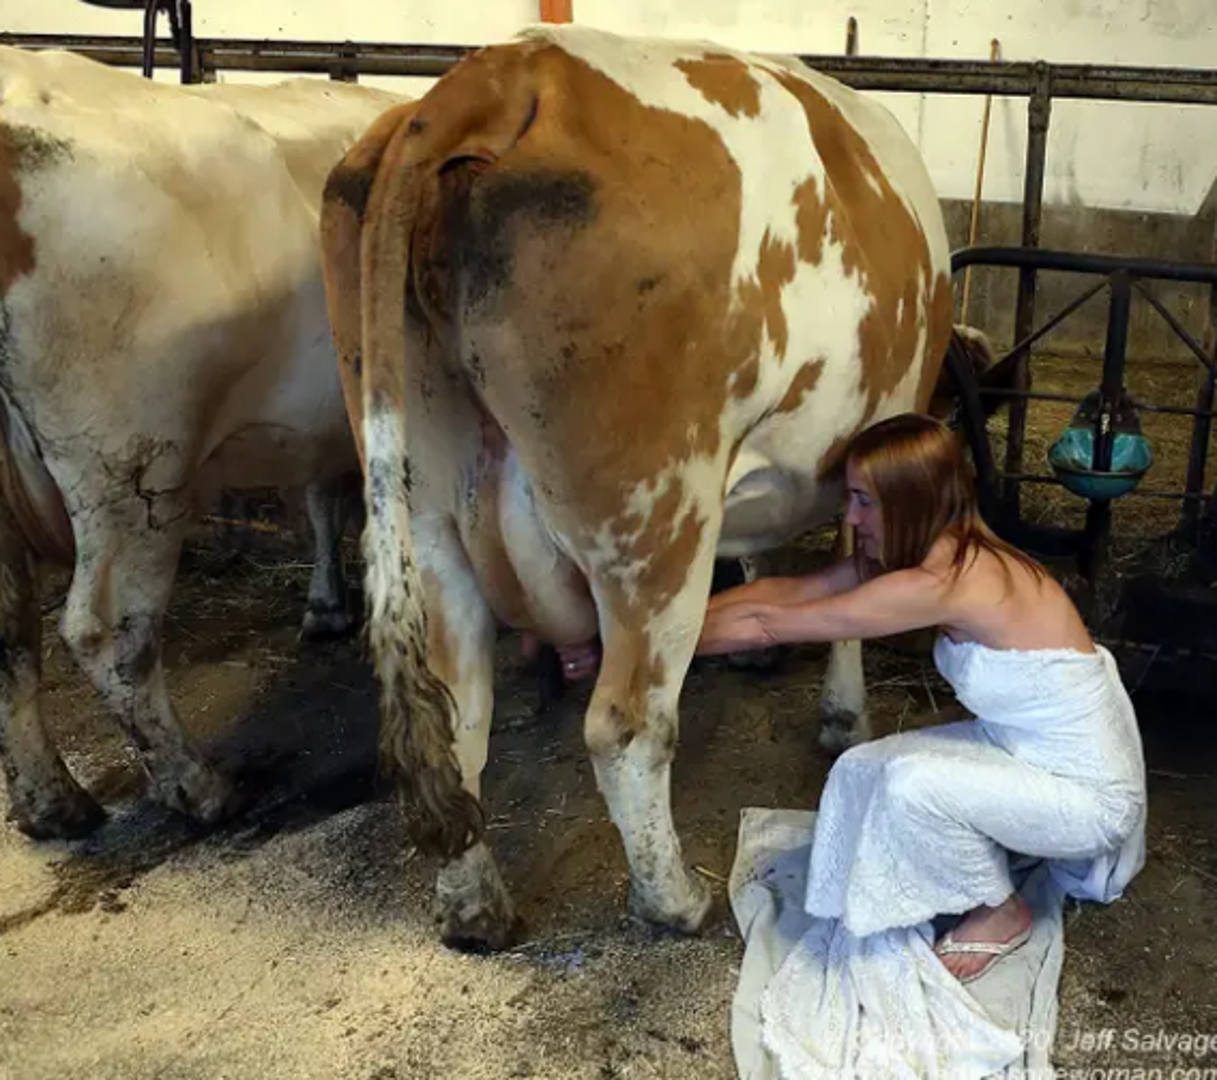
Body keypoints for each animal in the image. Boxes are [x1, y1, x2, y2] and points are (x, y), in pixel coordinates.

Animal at [0, 46, 408, 842]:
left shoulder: (323, 420)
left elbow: (323, 498)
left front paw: (326, 605)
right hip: (132, 466)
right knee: (108, 631)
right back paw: (199, 787)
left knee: (8, 639)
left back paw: (53, 804)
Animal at [321, 25, 958, 949]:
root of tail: (504, 71)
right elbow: (856, 585)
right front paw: (843, 717)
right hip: (654, 519)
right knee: (625, 727)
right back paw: (673, 900)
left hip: (424, 512)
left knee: (457, 713)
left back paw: (476, 909)